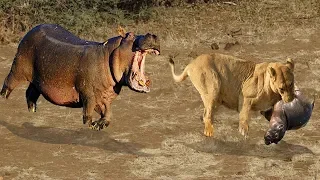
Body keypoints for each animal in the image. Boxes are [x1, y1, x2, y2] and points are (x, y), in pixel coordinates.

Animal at [0, 24, 160, 131]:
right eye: (130, 35)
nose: (153, 35)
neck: (109, 52)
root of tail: (32, 29)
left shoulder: (105, 95)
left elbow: (108, 112)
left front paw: (100, 125)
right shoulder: (88, 94)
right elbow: (87, 114)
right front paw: (89, 126)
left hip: (37, 78)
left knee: (30, 93)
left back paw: (32, 112)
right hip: (18, 67)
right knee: (8, 83)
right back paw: (4, 102)